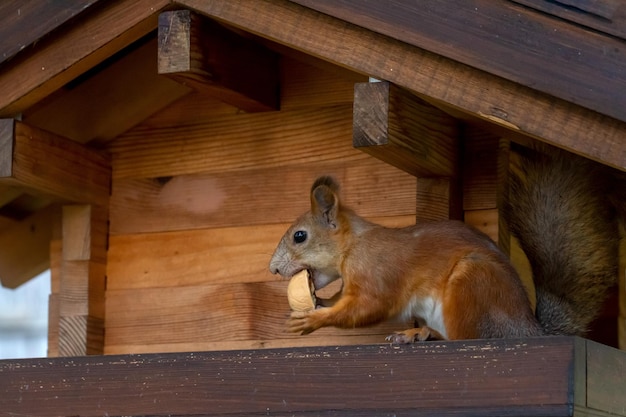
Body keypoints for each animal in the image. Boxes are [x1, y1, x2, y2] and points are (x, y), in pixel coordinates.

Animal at [266, 144, 620, 342]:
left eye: (300, 236)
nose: (272, 269)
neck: (353, 246)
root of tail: (527, 331)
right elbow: (342, 299)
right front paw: (320, 303)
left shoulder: (378, 273)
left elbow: (369, 307)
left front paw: (314, 320)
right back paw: (417, 333)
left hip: (471, 284)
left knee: (465, 337)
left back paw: (426, 333)